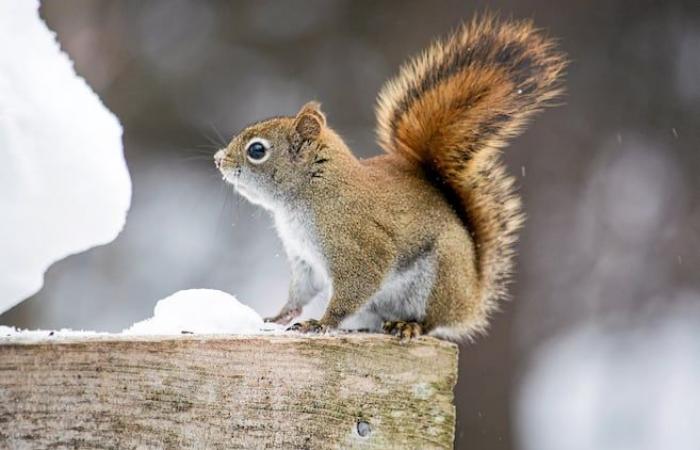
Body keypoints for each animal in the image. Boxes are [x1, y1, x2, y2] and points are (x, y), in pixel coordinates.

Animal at [215, 16, 568, 342]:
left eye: (257, 150)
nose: (219, 160)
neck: (307, 195)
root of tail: (471, 300)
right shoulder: (306, 261)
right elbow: (300, 293)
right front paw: (277, 318)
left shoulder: (357, 245)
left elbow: (357, 285)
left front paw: (321, 323)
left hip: (440, 278)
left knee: (431, 321)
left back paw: (408, 325)